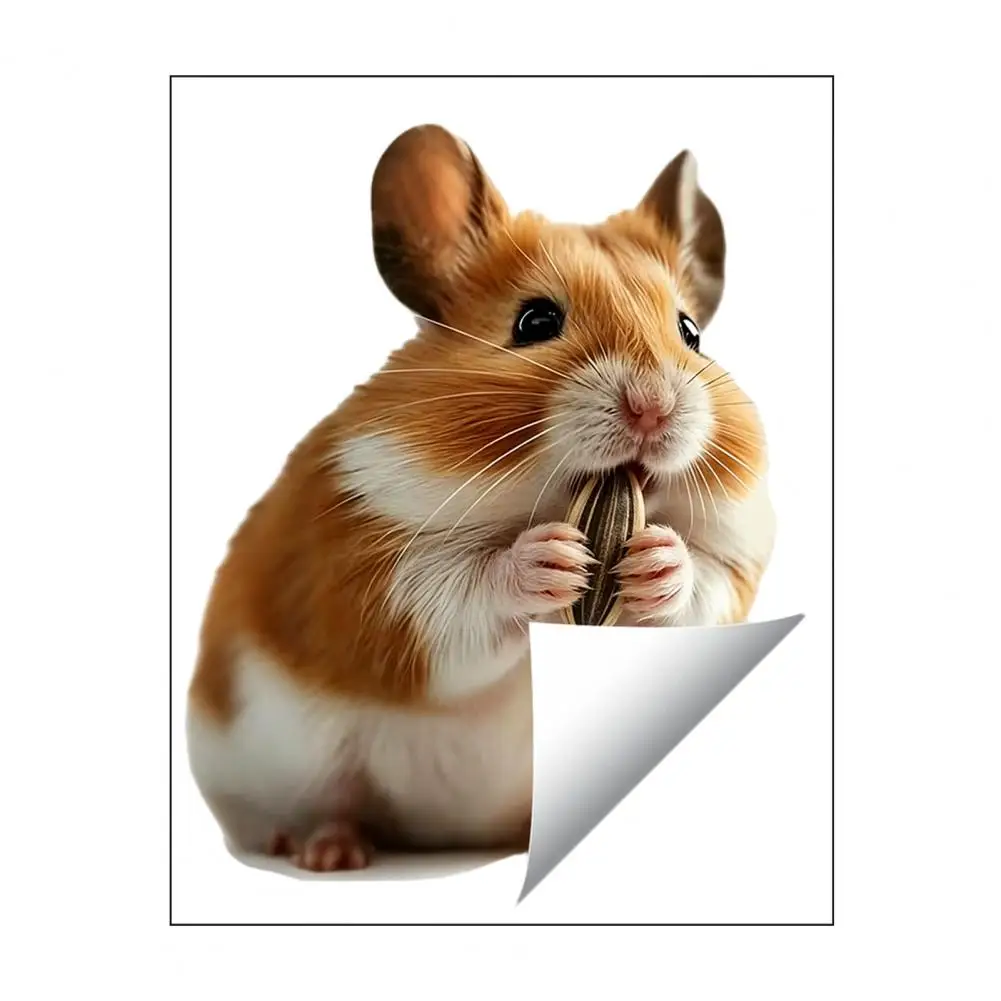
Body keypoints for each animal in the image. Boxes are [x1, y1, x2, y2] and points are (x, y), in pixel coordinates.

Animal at [186, 124, 776, 872]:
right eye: (535, 321)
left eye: (690, 333)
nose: (654, 409)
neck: (534, 500)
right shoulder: (368, 577)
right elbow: (461, 595)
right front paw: (552, 560)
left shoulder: (734, 567)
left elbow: (700, 580)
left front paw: (655, 561)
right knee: (325, 807)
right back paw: (326, 851)